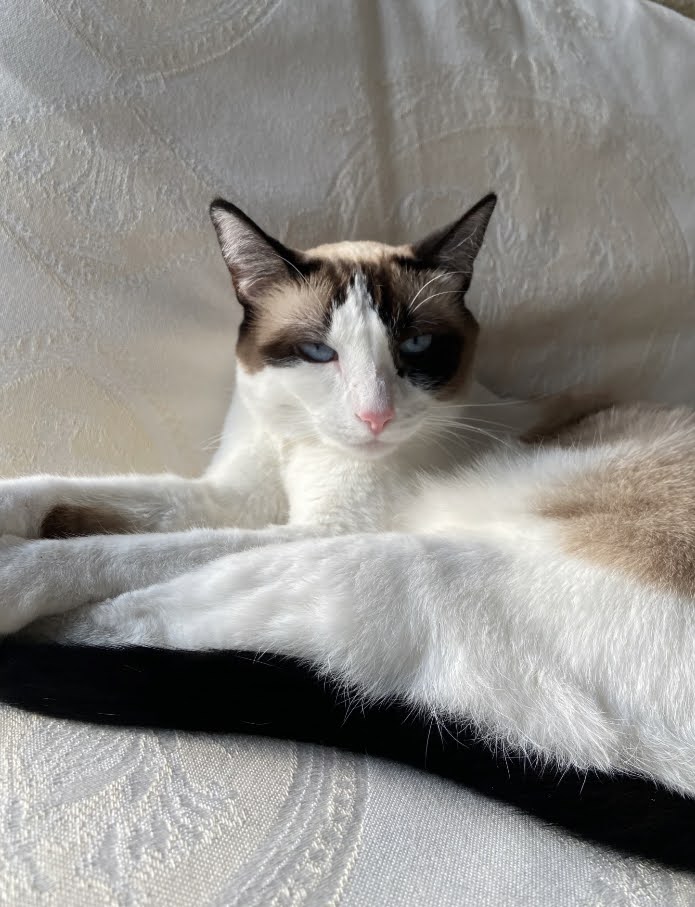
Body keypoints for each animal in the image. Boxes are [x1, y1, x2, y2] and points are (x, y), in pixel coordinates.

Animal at [1, 195, 695, 868]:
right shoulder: (228, 496)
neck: (300, 442)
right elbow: (70, 494)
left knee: (134, 625)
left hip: (367, 561)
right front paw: (34, 516)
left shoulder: (305, 529)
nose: (374, 416)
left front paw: (20, 566)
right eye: (317, 352)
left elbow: (119, 551)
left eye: (416, 347)